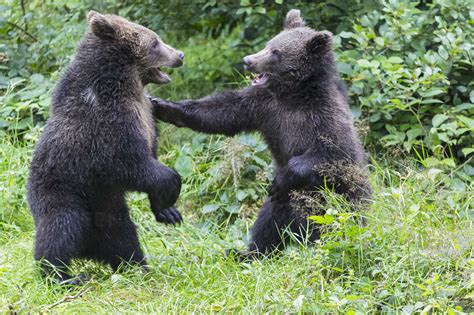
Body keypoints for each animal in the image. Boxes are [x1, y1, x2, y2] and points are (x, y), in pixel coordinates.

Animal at [26, 10, 184, 284]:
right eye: (155, 42)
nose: (180, 55)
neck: (128, 85)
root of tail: (87, 249)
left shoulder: (147, 115)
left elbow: (150, 156)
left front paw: (168, 212)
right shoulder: (109, 128)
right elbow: (133, 165)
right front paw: (172, 188)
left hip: (108, 209)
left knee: (124, 238)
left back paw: (137, 267)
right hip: (61, 193)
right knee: (61, 227)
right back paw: (63, 276)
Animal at [154, 9, 372, 258]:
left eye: (276, 52)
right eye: (269, 44)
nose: (248, 61)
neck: (293, 96)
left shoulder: (324, 118)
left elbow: (334, 154)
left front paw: (282, 177)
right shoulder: (264, 108)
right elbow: (221, 112)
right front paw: (163, 105)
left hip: (337, 199)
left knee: (332, 220)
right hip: (284, 205)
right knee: (268, 223)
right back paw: (248, 252)